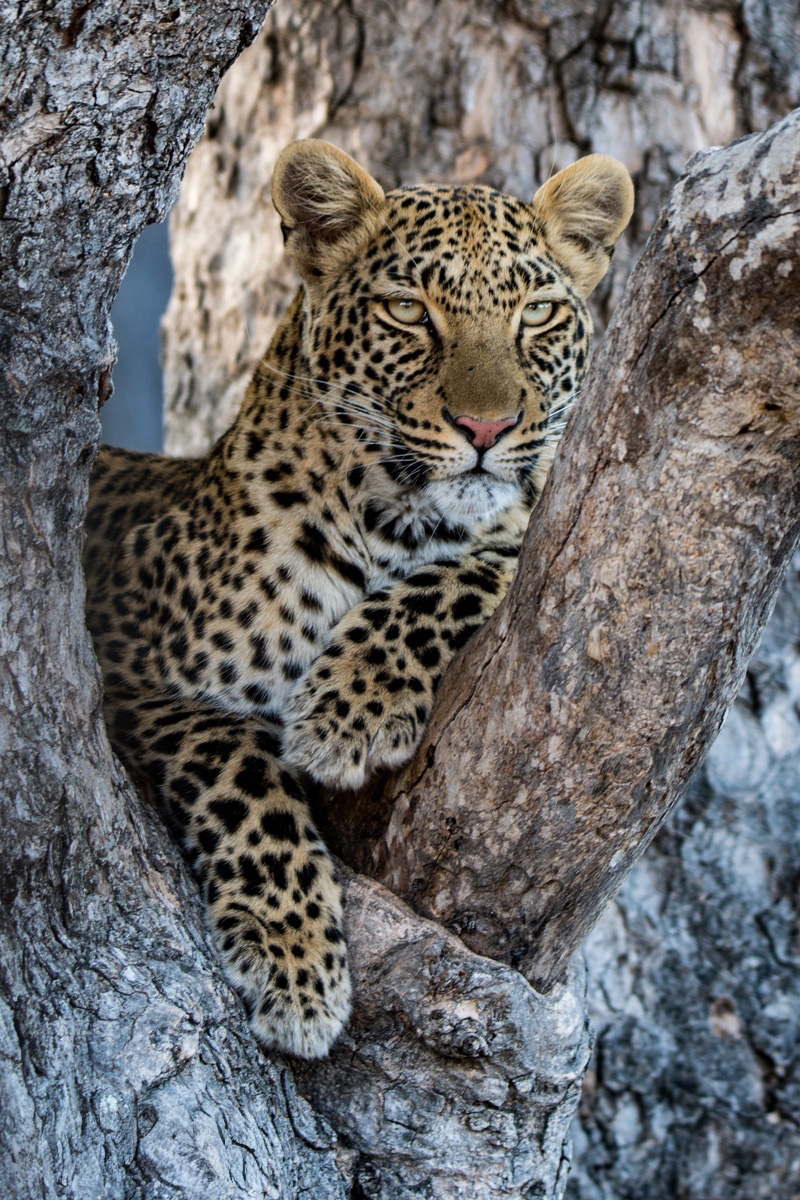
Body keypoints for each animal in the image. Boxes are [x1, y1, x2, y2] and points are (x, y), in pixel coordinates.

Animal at [83, 139, 633, 1059]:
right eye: (410, 312)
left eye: (537, 316)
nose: (486, 430)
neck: (393, 525)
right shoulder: (126, 672)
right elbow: (239, 768)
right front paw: (295, 961)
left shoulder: (522, 541)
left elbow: (473, 571)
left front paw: (349, 709)